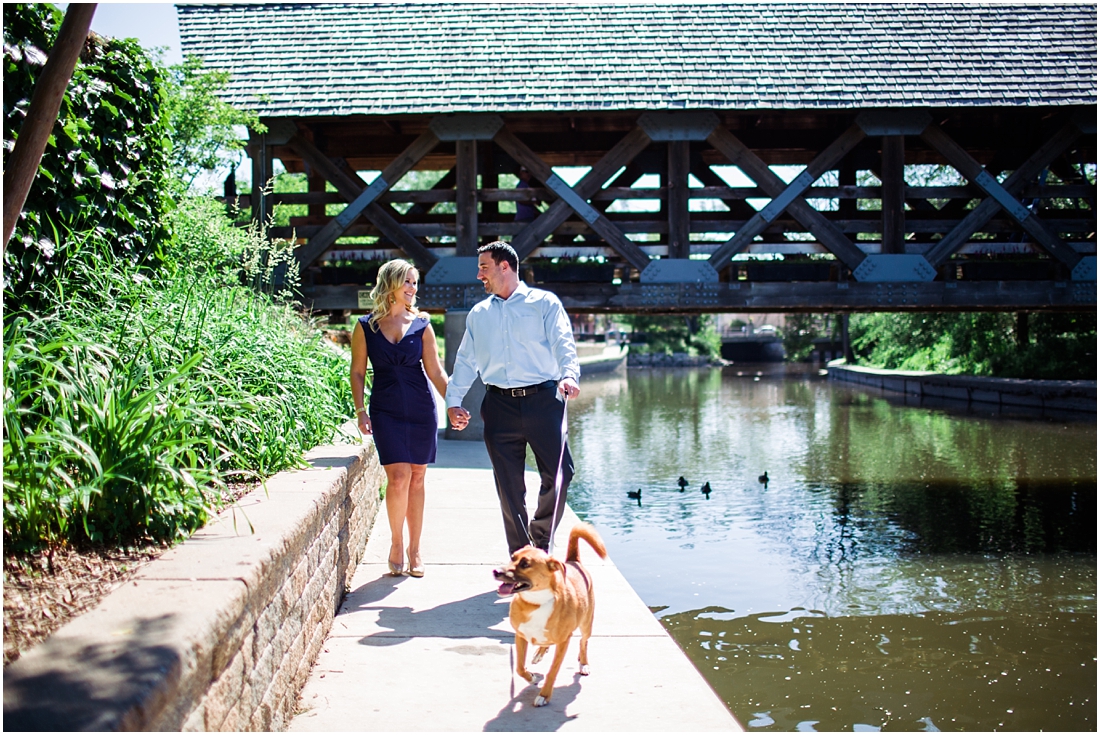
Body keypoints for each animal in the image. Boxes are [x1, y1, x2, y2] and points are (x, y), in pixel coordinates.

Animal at [492, 521, 607, 704]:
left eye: (525, 564)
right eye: (513, 557)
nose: (496, 571)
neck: (535, 603)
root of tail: (573, 562)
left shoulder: (564, 641)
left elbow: (553, 670)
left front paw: (544, 695)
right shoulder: (520, 636)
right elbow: (519, 667)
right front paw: (532, 677)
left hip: (586, 625)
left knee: (583, 642)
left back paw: (583, 663)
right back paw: (540, 653)